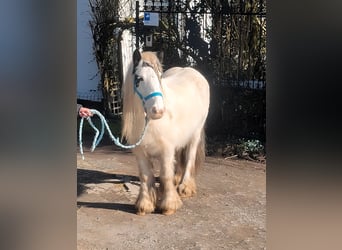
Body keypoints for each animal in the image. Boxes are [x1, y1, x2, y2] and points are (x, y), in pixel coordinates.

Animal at [121, 49, 210, 215]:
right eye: (139, 78)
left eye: (159, 77)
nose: (158, 111)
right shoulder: (140, 152)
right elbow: (145, 176)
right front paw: (145, 205)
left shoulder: (166, 150)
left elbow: (165, 175)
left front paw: (169, 206)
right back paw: (178, 179)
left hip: (195, 133)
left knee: (190, 157)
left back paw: (185, 187)